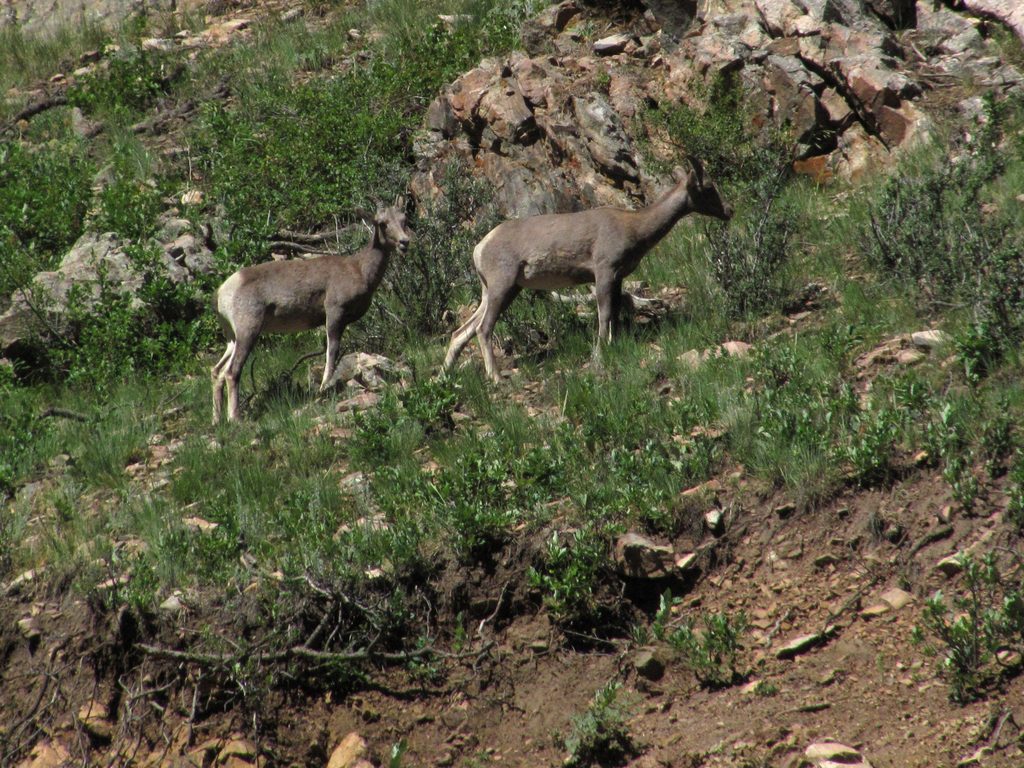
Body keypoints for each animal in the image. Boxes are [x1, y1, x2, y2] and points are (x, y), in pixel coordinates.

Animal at [211, 204, 411, 423]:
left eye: (403, 220)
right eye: (382, 223)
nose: (404, 242)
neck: (359, 269)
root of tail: (223, 291)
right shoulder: (334, 315)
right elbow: (332, 353)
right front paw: (324, 387)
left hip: (232, 339)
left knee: (217, 372)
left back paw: (217, 421)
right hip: (248, 333)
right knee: (232, 372)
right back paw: (235, 419)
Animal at [444, 159, 733, 382]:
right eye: (709, 187)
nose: (729, 210)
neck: (635, 226)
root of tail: (480, 247)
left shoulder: (617, 279)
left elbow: (615, 314)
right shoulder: (604, 273)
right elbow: (604, 315)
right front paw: (600, 354)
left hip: (500, 291)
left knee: (461, 333)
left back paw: (444, 376)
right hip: (501, 288)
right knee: (483, 329)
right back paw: (495, 378)